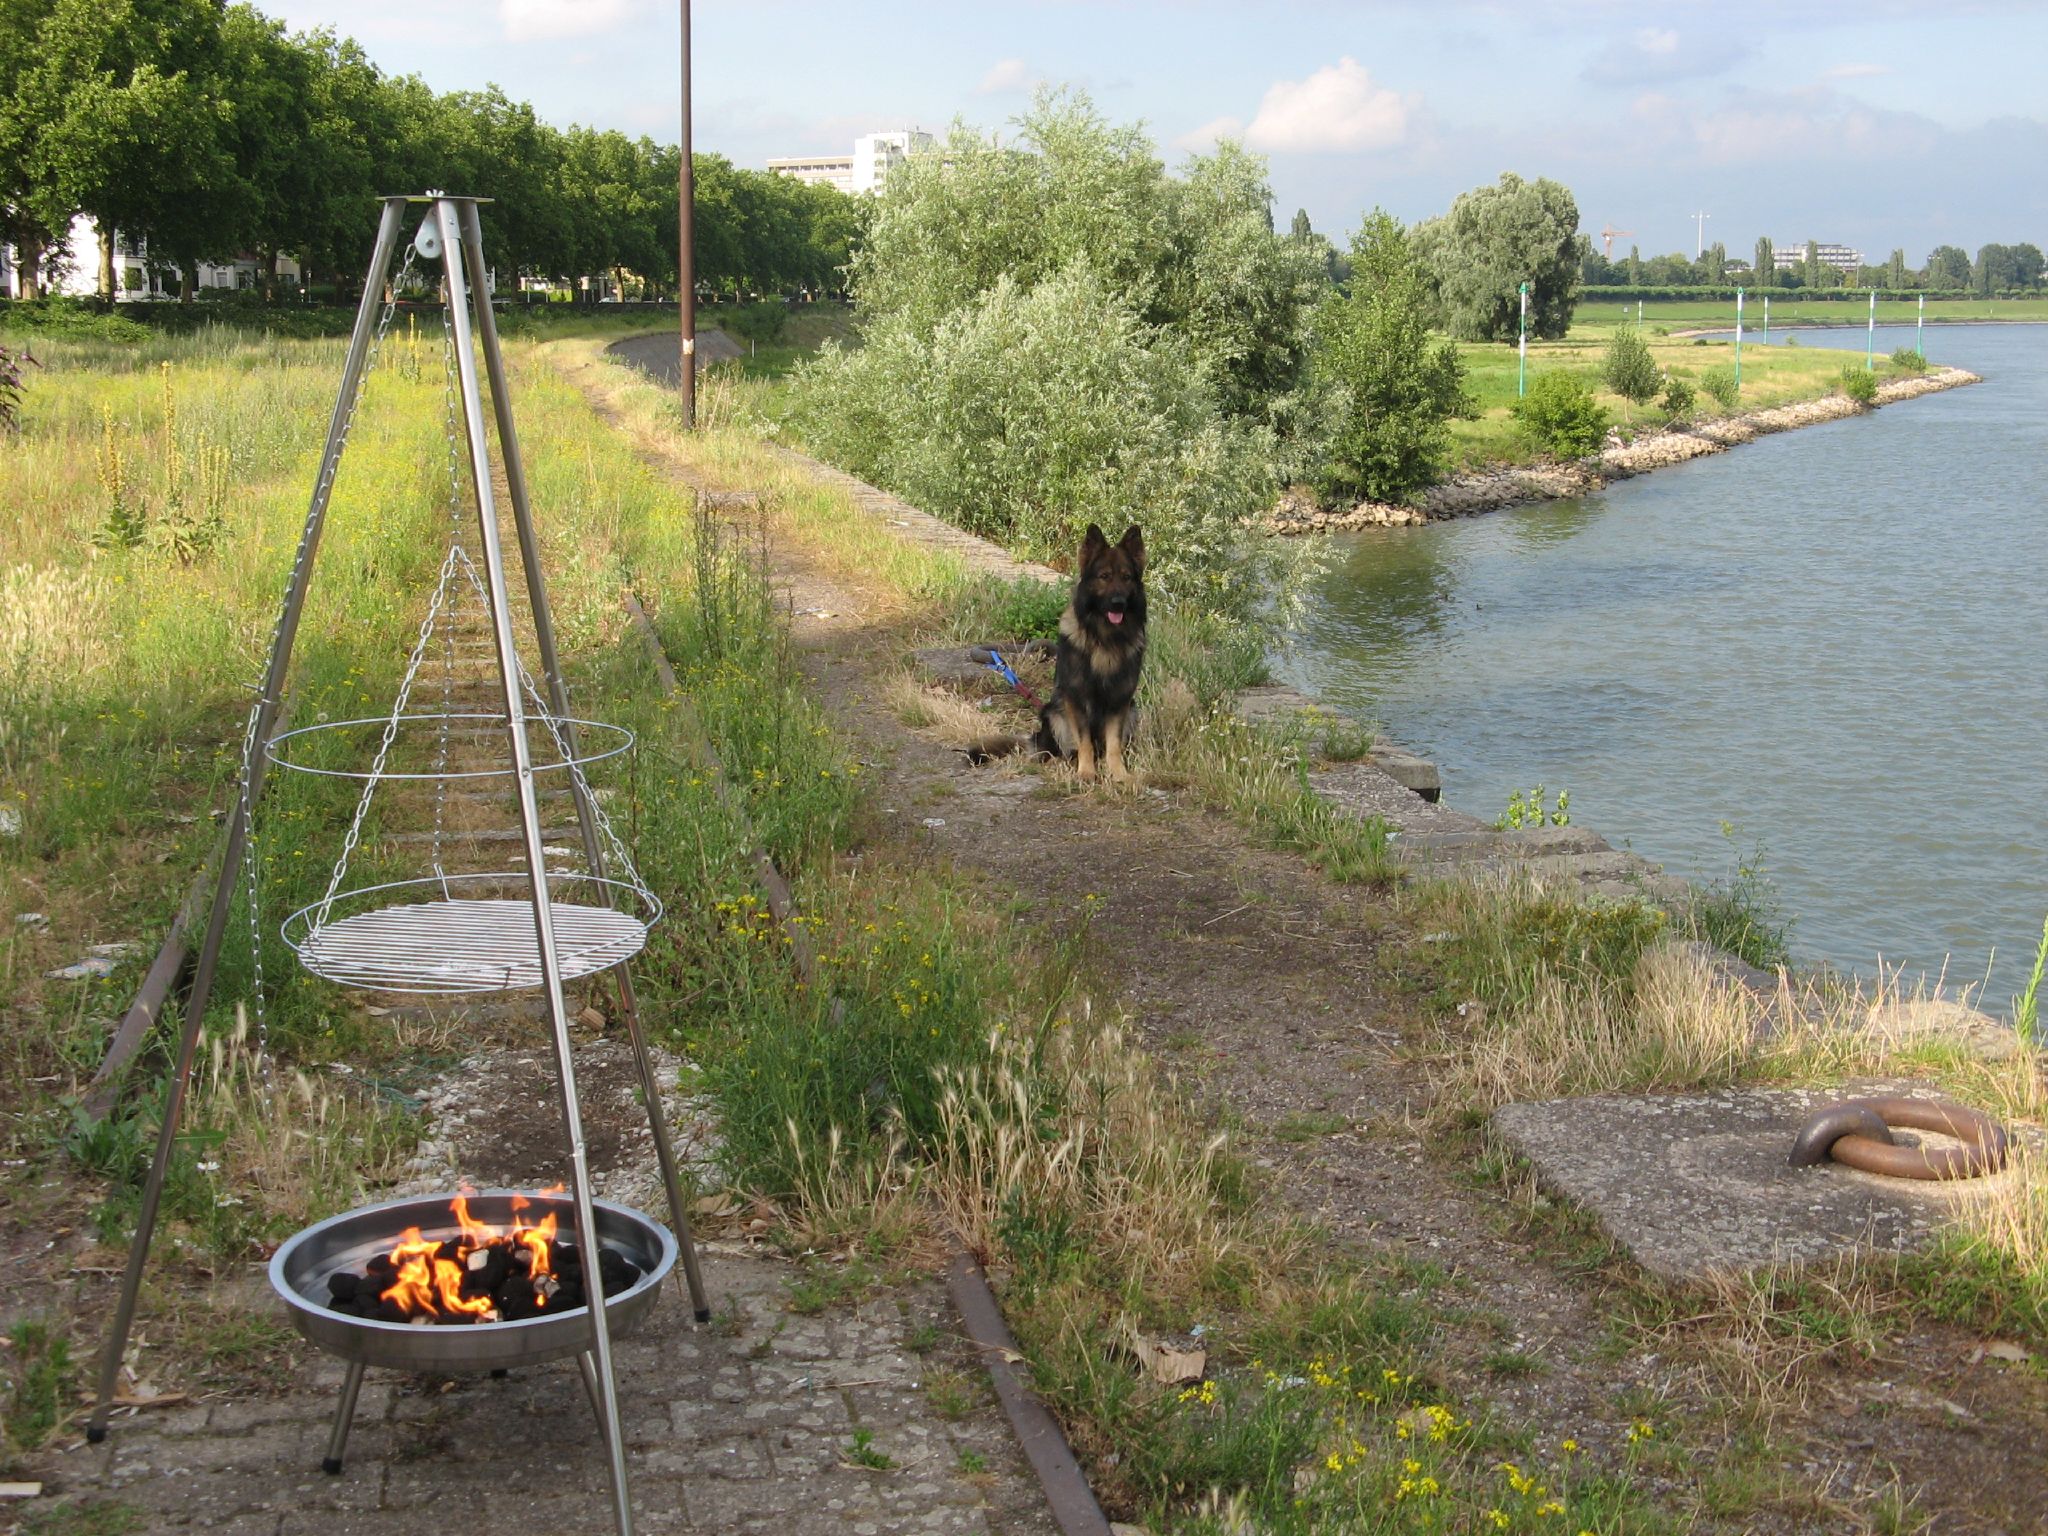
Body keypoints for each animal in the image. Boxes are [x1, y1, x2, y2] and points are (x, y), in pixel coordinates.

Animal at [966, 528, 1146, 782]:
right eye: (1104, 576)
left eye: (1127, 577)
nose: (1118, 603)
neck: (1105, 638)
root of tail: (1037, 739)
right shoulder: (1076, 700)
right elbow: (1085, 742)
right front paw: (1086, 772)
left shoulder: (1120, 701)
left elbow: (1113, 743)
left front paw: (1119, 773)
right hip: (1055, 714)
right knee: (1060, 749)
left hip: (1132, 711)